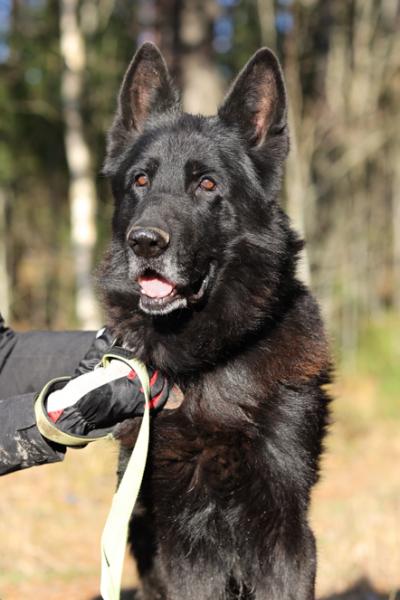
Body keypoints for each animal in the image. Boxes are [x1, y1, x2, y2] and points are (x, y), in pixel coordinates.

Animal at [99, 42, 331, 600]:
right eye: (140, 180)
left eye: (207, 184)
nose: (145, 242)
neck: (208, 362)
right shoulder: (181, 543)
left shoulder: (286, 533)